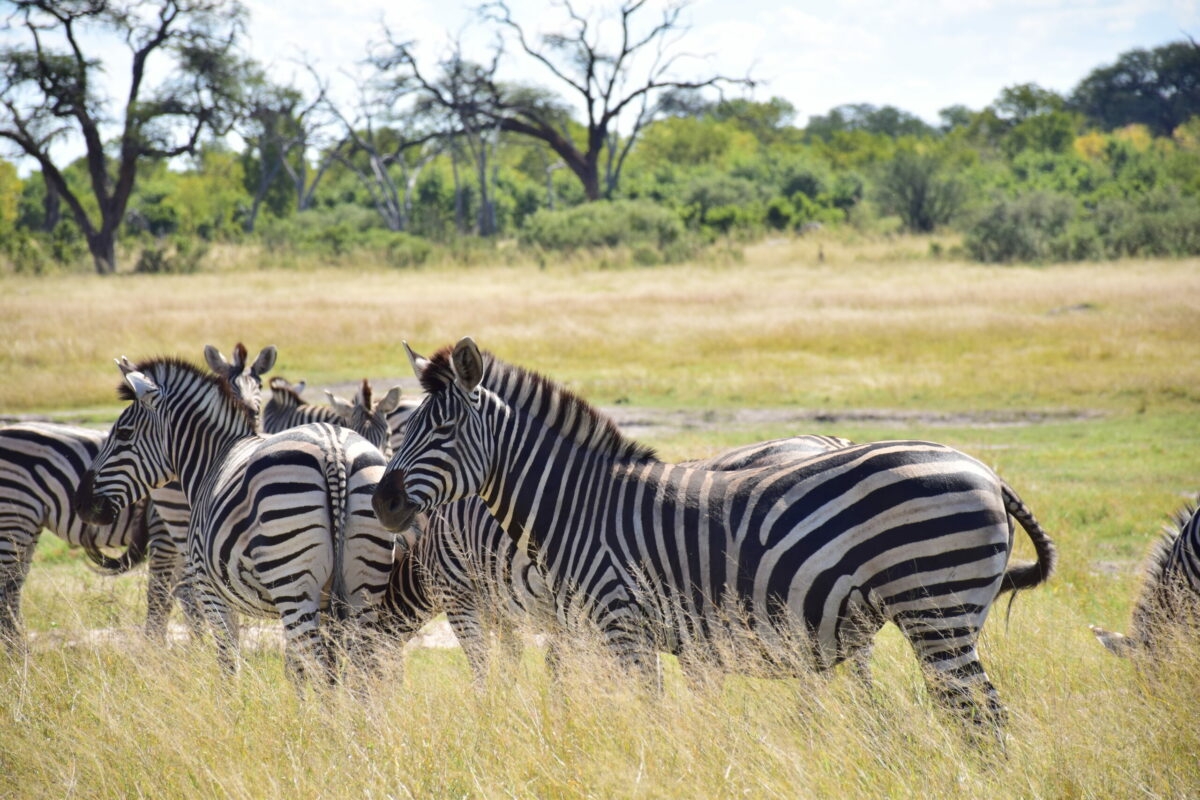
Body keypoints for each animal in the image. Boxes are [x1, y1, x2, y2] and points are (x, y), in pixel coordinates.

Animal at [369, 338, 1056, 734]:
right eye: (408, 427)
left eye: (444, 430)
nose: (382, 500)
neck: (578, 508)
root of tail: (986, 472)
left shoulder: (621, 622)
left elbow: (647, 716)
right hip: (945, 614)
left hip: (936, 608)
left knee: (981, 715)